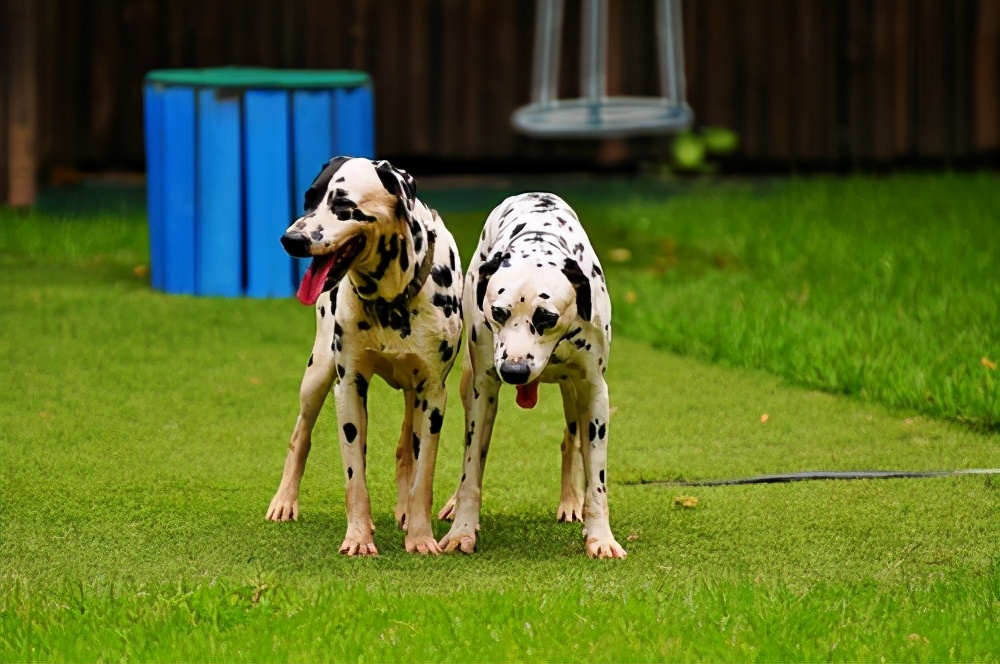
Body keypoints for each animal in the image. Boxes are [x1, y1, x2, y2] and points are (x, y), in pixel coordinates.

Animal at [268, 157, 466, 556]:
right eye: (308, 199)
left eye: (343, 205)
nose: (291, 240)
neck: (392, 300)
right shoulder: (349, 388)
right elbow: (354, 476)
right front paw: (358, 536)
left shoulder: (433, 396)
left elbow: (423, 473)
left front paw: (420, 536)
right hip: (317, 375)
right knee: (301, 434)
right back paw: (284, 500)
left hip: (416, 395)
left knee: (407, 449)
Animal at [438, 193, 624, 560]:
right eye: (498, 312)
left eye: (546, 317)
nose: (514, 371)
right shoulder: (483, 391)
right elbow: (471, 470)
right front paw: (463, 530)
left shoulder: (595, 392)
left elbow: (597, 478)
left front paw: (600, 536)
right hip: (468, 383)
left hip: (574, 395)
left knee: (572, 441)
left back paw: (572, 501)